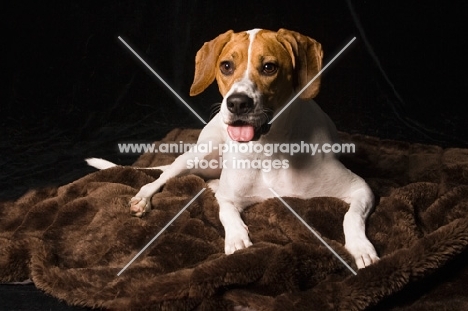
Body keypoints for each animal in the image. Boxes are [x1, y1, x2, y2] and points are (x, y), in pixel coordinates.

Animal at [88, 29, 380, 270]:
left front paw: (361, 248)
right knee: (162, 177)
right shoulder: (229, 198)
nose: (238, 103)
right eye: (226, 66)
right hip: (199, 154)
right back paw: (144, 197)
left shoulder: (360, 189)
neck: (269, 150)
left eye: (269, 67)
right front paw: (237, 239)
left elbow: (351, 217)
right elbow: (226, 212)